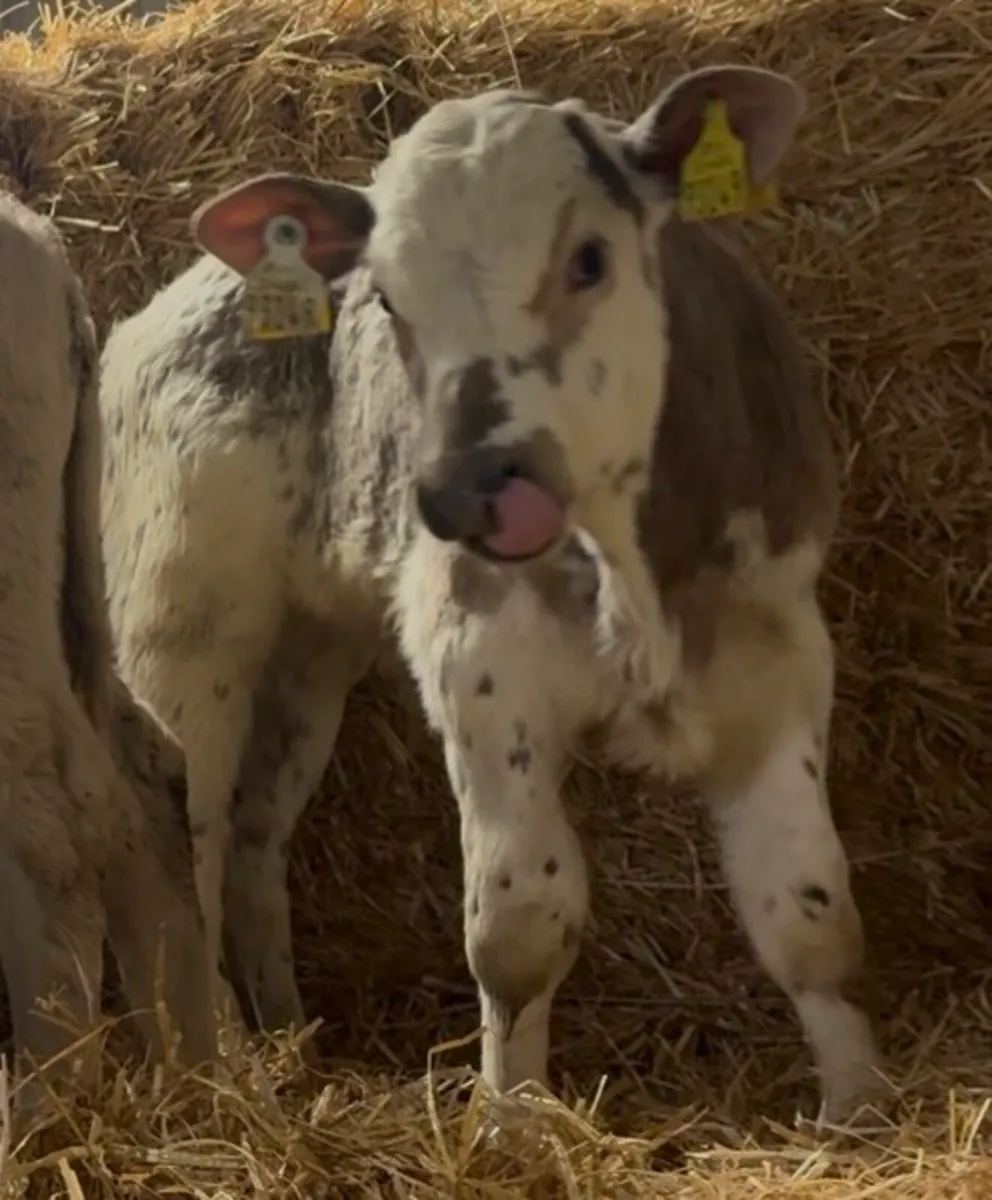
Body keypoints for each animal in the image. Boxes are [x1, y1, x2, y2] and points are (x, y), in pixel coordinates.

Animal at [98, 64, 882, 1121]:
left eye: (589, 258)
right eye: (387, 299)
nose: (468, 487)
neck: (626, 573)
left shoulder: (778, 643)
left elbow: (807, 911)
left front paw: (863, 1110)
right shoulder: (480, 661)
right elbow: (520, 929)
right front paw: (515, 1122)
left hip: (312, 654)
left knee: (257, 831)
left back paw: (289, 1030)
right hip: (181, 616)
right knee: (181, 831)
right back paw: (224, 1056)